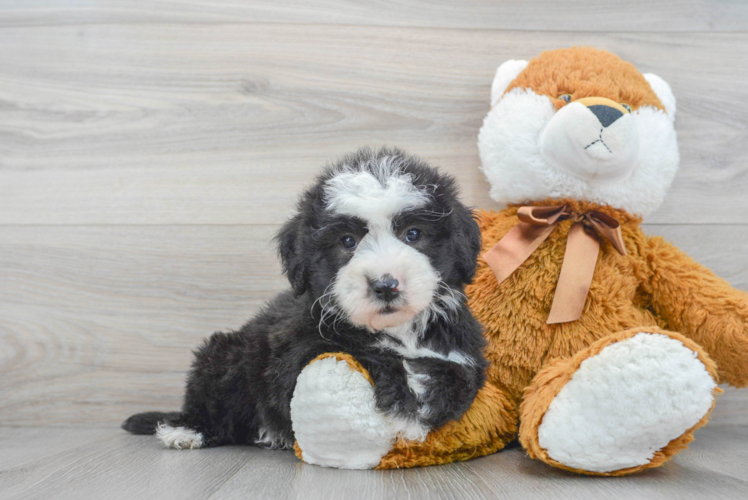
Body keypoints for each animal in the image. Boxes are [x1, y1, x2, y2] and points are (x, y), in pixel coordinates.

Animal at [122, 146, 486, 452]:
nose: (385, 285)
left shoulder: (464, 355)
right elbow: (362, 351)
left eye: (413, 234)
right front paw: (402, 403)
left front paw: (417, 405)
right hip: (226, 354)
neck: (397, 331)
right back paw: (188, 430)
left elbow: (454, 376)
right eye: (348, 241)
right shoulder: (296, 354)